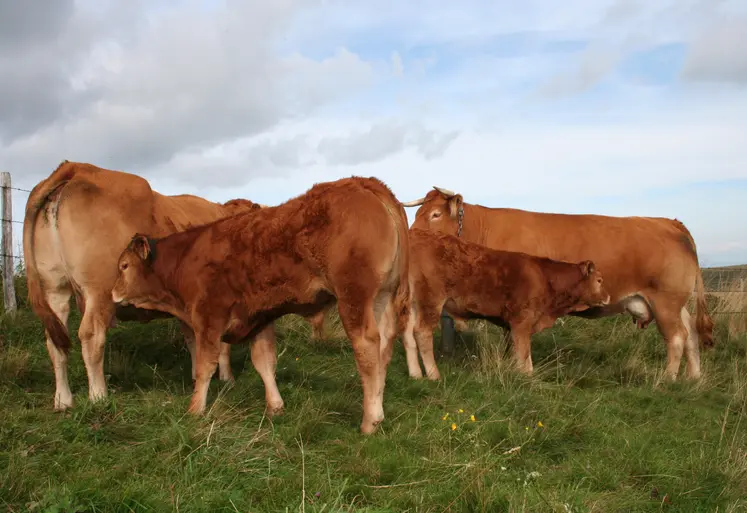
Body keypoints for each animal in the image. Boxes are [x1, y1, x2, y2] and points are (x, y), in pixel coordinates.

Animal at [23, 161, 264, 412]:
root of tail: (77, 168)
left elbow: (192, 339)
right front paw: (227, 379)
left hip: (54, 288)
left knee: (55, 341)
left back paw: (63, 400)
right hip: (99, 291)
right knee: (91, 338)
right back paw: (98, 396)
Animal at [109, 176, 410, 435]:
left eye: (123, 266)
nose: (112, 292)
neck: (185, 258)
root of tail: (363, 183)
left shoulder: (208, 318)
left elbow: (205, 365)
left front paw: (195, 409)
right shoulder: (259, 317)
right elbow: (264, 362)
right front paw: (275, 407)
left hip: (354, 299)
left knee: (367, 346)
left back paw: (370, 419)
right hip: (382, 297)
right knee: (384, 346)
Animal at [401, 228, 611, 378]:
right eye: (599, 280)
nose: (608, 297)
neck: (545, 278)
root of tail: (416, 234)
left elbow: (520, 354)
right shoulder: (522, 321)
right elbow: (524, 355)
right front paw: (526, 377)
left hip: (410, 304)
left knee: (408, 334)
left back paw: (416, 375)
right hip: (431, 300)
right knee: (422, 332)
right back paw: (434, 375)